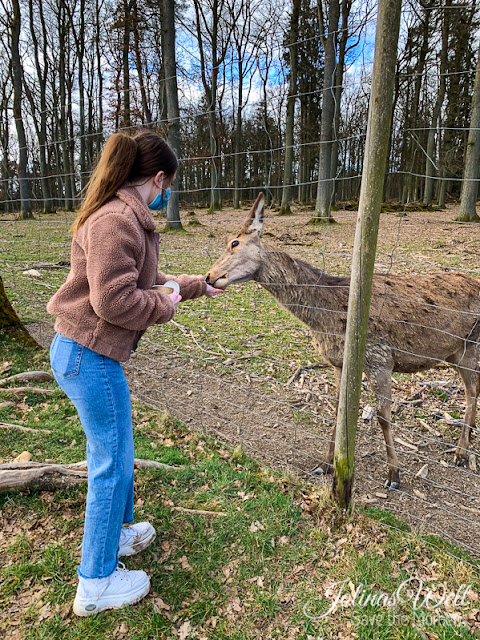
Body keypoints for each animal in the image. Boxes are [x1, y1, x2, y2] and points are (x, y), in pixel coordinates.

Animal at [205, 192, 480, 488]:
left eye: (234, 243)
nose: (209, 276)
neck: (326, 318)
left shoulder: (379, 358)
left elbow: (383, 416)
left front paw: (394, 474)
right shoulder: (337, 362)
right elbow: (338, 410)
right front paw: (325, 464)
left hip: (470, 346)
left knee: (471, 391)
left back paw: (462, 452)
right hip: (455, 352)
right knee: (473, 389)